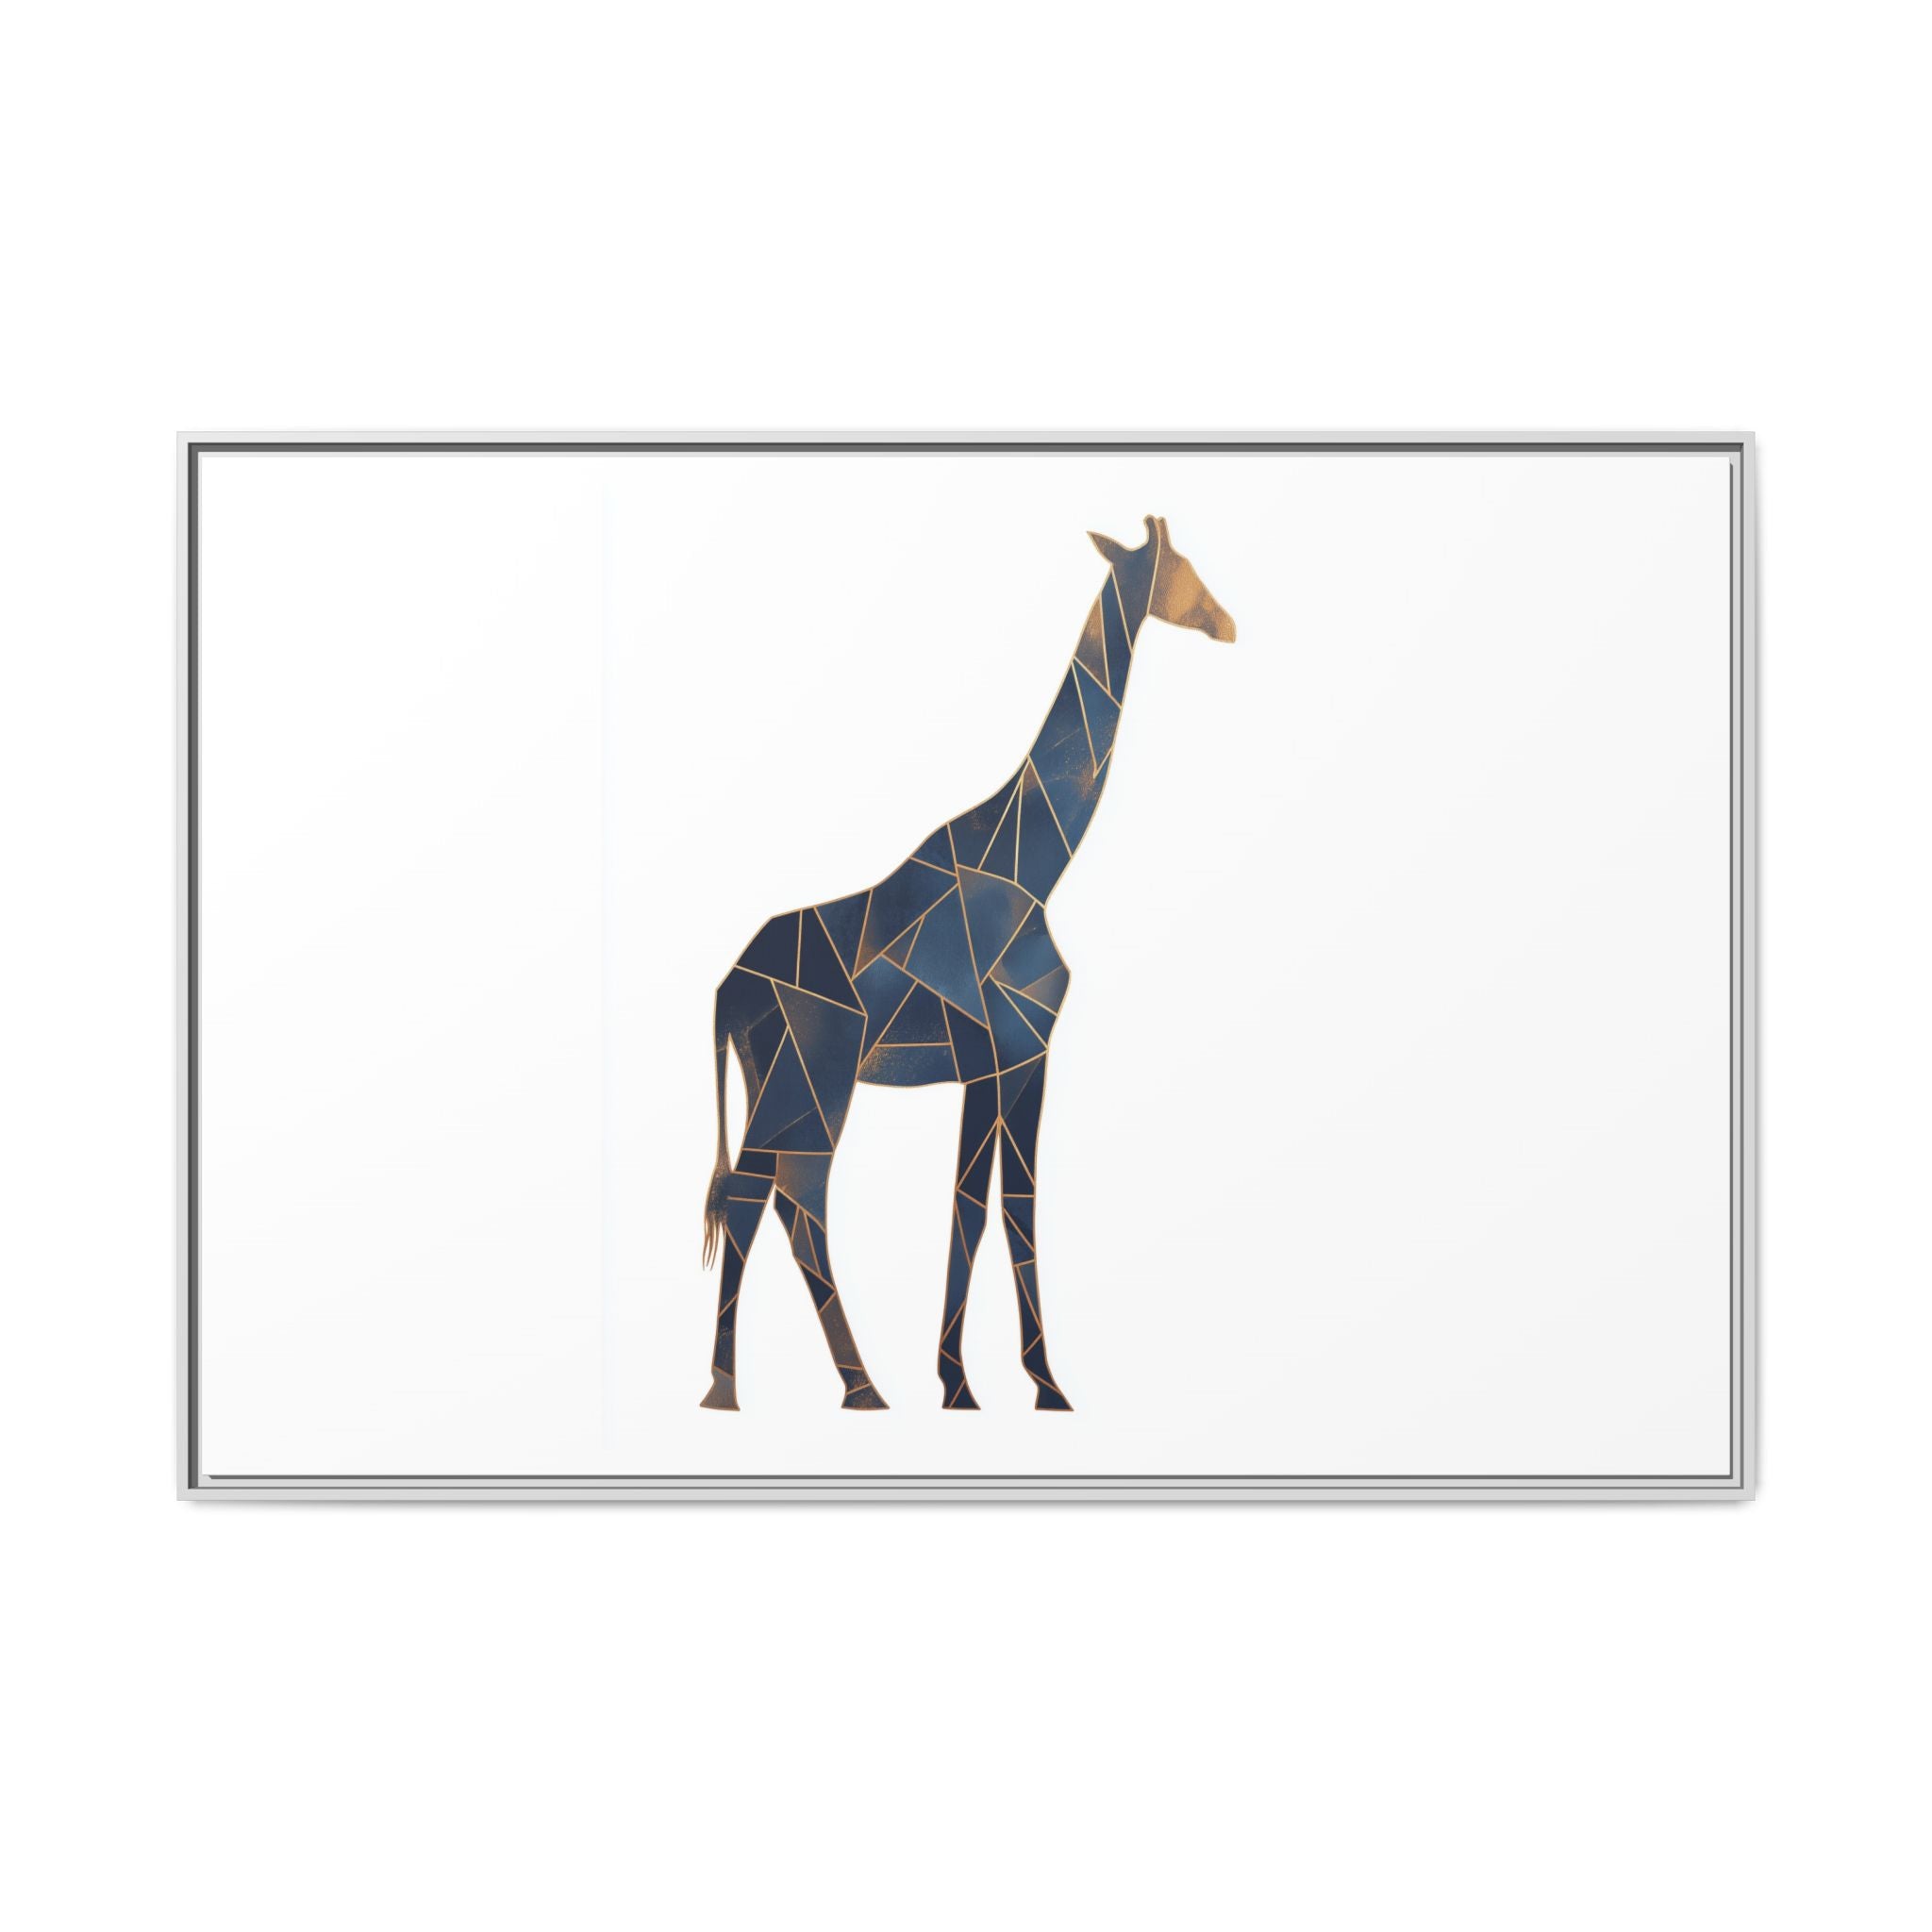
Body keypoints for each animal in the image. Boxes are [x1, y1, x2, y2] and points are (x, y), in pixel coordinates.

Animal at [698, 515, 1236, 1412]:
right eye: (1182, 566)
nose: (1227, 624)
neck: (1037, 865)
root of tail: (727, 989)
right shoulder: (1011, 1051)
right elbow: (997, 1207)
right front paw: (1009, 1386)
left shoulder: (1004, 1061)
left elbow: (986, 1206)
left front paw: (989, 1381)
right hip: (815, 1077)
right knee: (782, 1195)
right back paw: (764, 1390)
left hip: (775, 1079)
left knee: (772, 1196)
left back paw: (825, 1386)